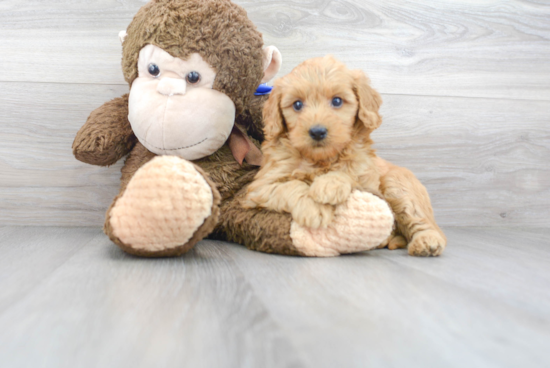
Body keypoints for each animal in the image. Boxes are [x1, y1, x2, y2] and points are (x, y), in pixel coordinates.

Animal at [246, 55, 384, 229]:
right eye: (297, 104)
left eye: (337, 101)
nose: (317, 132)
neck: (319, 160)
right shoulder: (260, 187)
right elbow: (291, 185)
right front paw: (314, 207)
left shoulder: (371, 185)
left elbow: (350, 171)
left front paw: (329, 184)